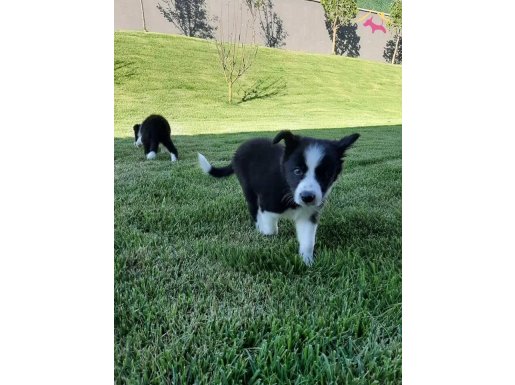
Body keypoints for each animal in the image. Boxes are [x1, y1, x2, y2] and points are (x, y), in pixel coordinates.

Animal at [200, 130, 360, 266]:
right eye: (297, 171)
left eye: (326, 175)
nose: (307, 197)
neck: (287, 187)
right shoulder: (267, 205)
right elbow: (271, 230)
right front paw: (266, 236)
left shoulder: (308, 214)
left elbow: (308, 241)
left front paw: (307, 263)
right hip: (248, 189)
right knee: (253, 209)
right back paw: (258, 226)